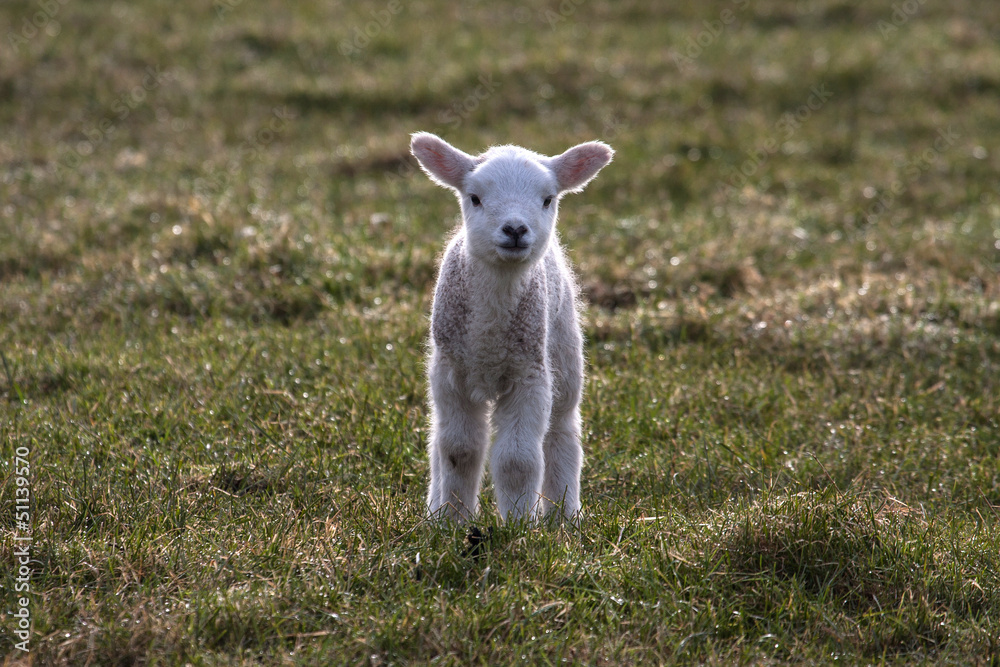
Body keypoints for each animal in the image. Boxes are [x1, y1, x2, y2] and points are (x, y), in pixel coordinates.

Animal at [410, 132, 614, 522]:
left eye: (548, 199)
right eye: (474, 197)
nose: (515, 229)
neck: (488, 337)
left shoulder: (529, 374)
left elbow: (517, 460)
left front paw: (519, 524)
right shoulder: (450, 374)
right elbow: (457, 450)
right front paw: (452, 521)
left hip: (563, 350)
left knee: (562, 431)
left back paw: (564, 516)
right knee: (436, 439)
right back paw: (433, 509)